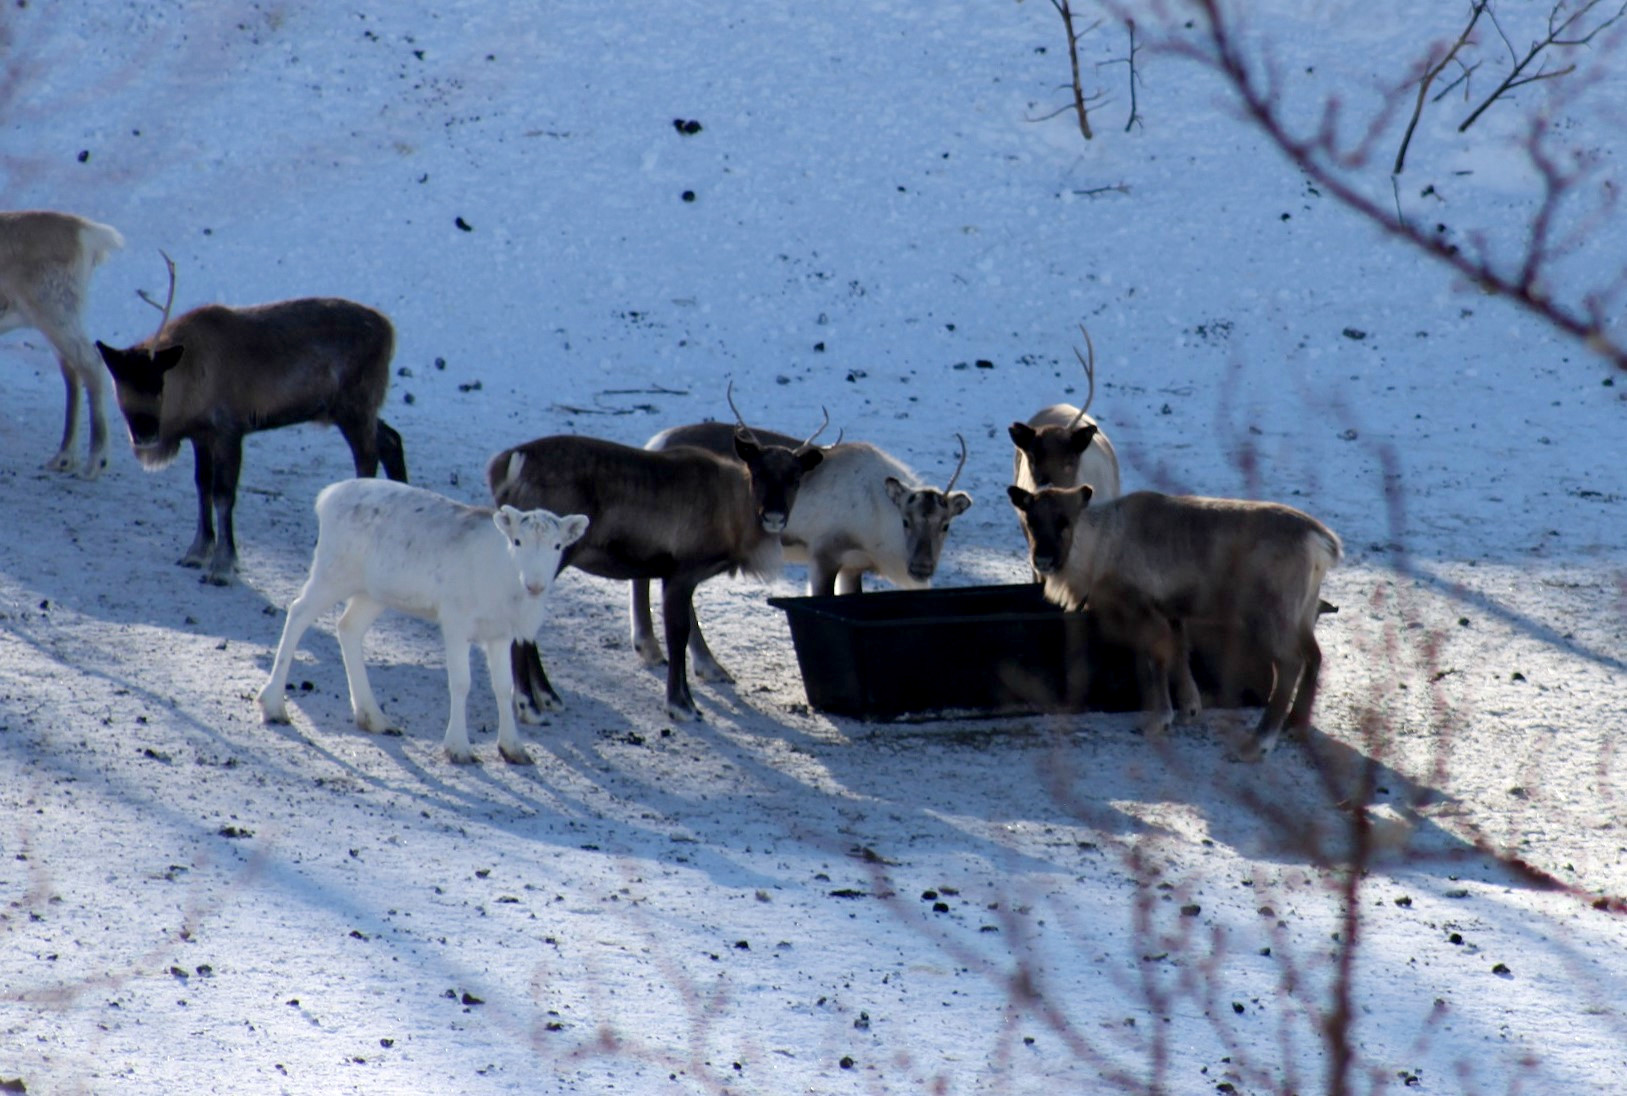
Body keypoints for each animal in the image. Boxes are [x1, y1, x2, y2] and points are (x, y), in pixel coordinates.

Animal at [263, 478, 595, 761]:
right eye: (517, 541)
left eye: (557, 546)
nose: (535, 585)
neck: (507, 584)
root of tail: (325, 497)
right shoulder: (456, 621)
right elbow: (461, 683)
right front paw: (458, 748)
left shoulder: (500, 634)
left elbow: (504, 687)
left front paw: (514, 749)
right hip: (333, 572)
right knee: (298, 612)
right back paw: (273, 705)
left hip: (373, 592)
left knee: (348, 627)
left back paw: (374, 718)